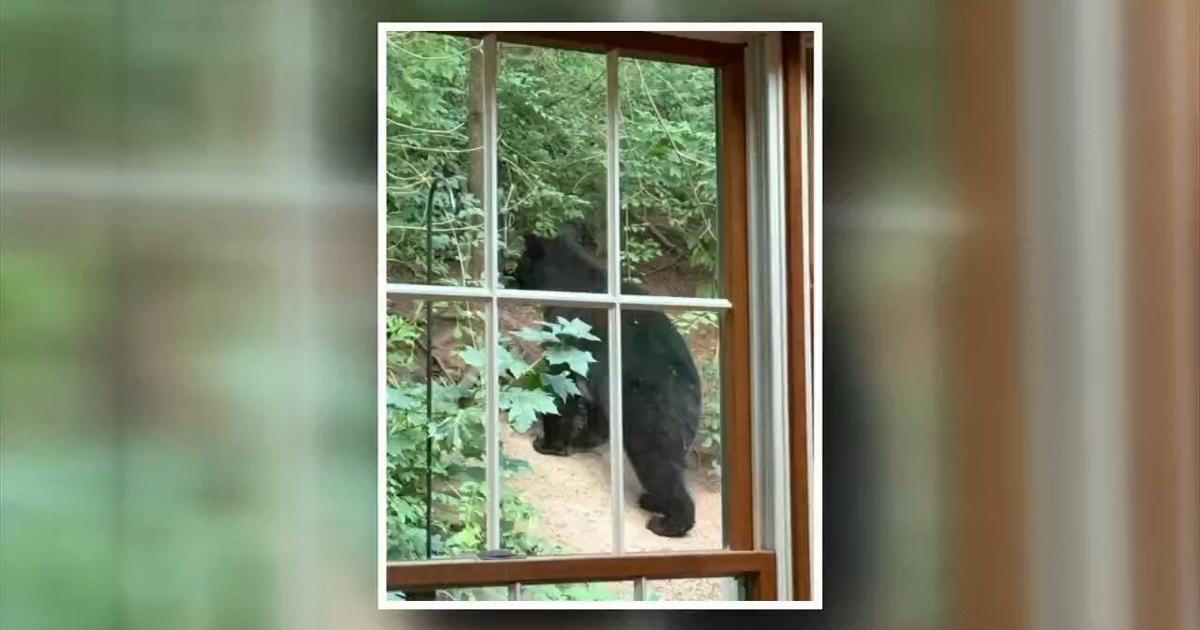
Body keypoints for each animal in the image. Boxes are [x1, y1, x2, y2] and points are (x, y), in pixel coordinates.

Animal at [506, 228, 702, 538]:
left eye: (521, 259)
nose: (509, 273)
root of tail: (687, 384)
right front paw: (583, 440)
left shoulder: (567, 334)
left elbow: (561, 386)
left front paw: (550, 444)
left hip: (648, 415)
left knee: (658, 463)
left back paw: (668, 522)